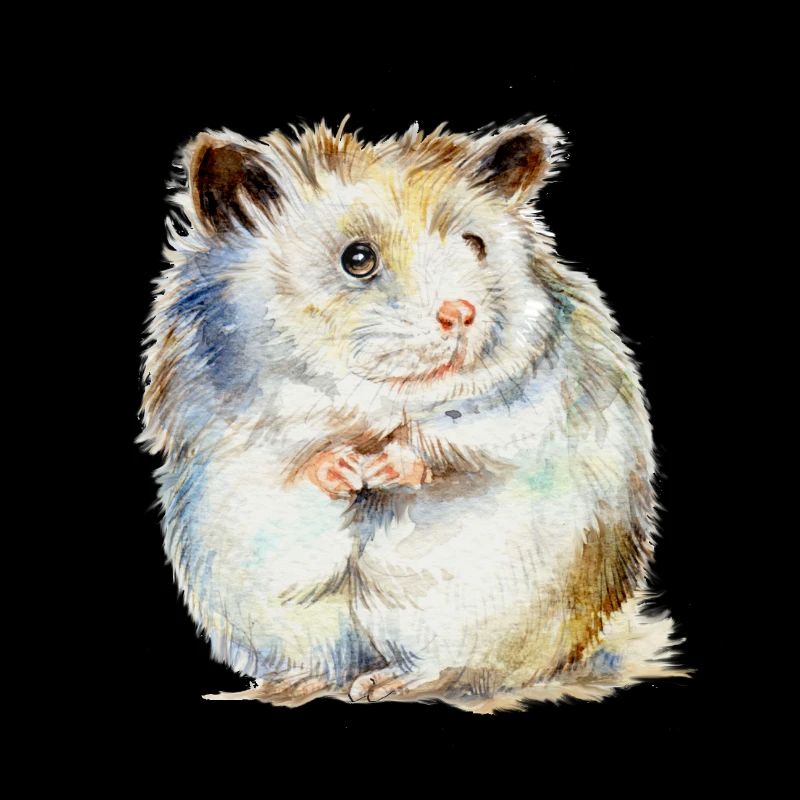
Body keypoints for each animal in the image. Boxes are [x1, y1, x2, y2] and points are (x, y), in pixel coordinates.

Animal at [140, 116, 684, 712]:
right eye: (357, 259)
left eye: (475, 244)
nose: (462, 313)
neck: (375, 397)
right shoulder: (228, 415)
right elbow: (288, 453)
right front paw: (345, 471)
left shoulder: (529, 399)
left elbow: (461, 436)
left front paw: (382, 468)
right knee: (328, 663)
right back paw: (287, 686)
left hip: (473, 608)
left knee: (457, 668)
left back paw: (381, 685)